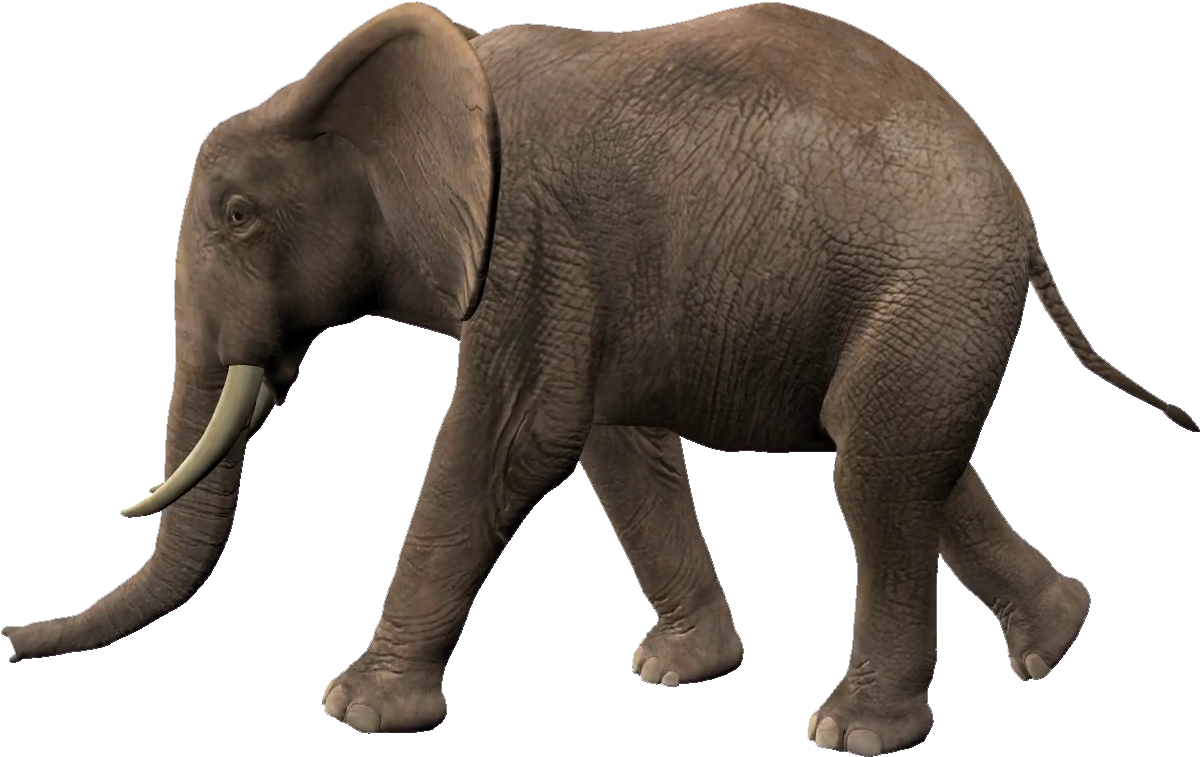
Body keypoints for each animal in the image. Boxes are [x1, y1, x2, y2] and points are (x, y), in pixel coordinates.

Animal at [4, 2, 1195, 752]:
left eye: (242, 215)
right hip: (932, 303)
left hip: (930, 279)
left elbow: (510, 442)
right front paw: (677, 671)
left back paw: (854, 731)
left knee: (873, 477)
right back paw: (1056, 636)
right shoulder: (591, 275)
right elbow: (613, 447)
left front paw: (358, 708)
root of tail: (1021, 211)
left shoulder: (529, 240)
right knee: (909, 464)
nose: (11, 643)